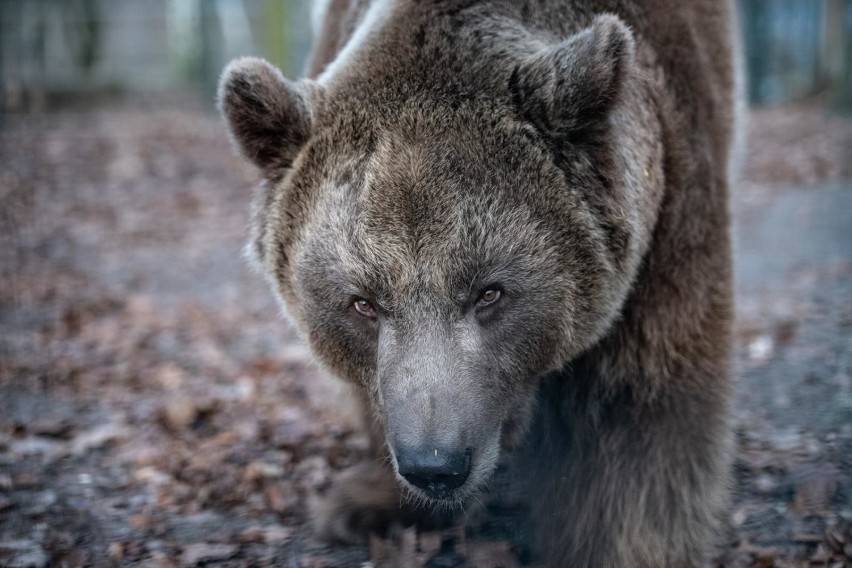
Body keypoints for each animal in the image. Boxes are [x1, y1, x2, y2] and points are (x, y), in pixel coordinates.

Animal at [218, 1, 740, 564]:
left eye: (489, 292)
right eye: (362, 303)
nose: (435, 464)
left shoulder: (670, 206)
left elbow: (637, 413)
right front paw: (372, 505)